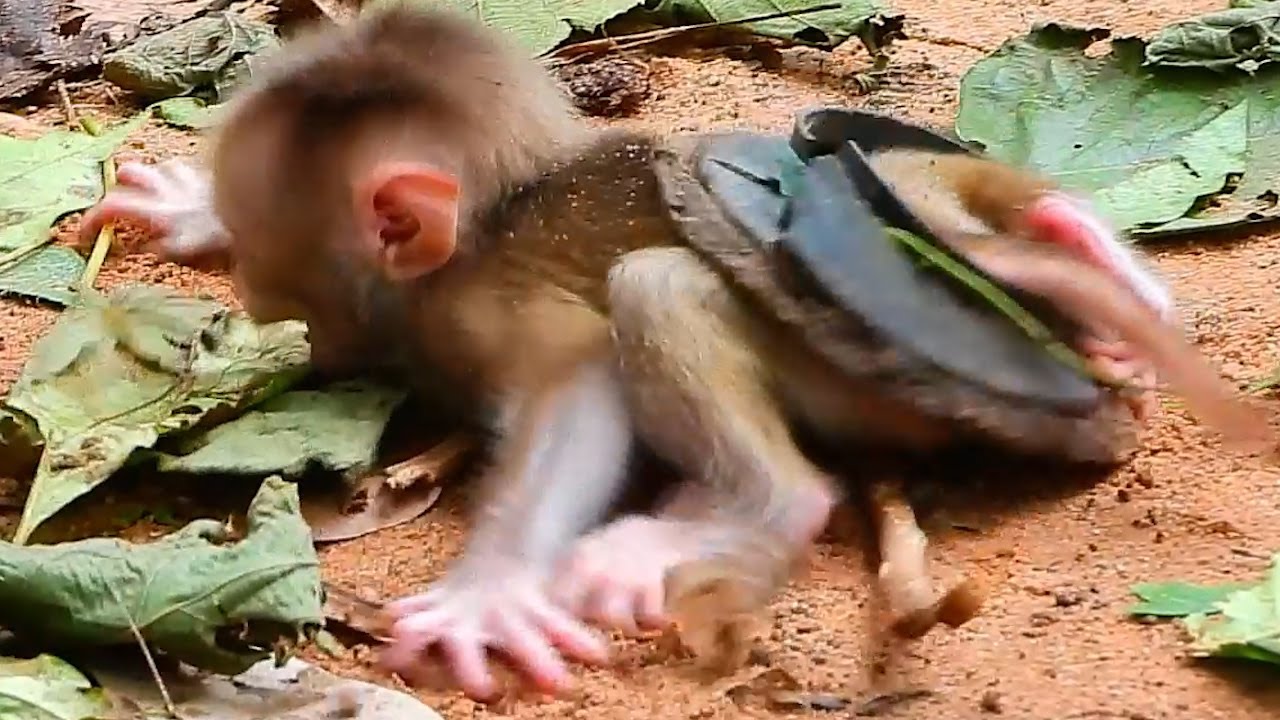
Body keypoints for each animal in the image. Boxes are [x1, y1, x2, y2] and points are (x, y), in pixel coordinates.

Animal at [74, 4, 1265, 701]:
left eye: (272, 278)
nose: (254, 293)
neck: (492, 218)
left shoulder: (480, 306)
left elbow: (580, 384)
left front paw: (488, 591)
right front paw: (184, 207)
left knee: (662, 288)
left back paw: (749, 508)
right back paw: (1085, 250)